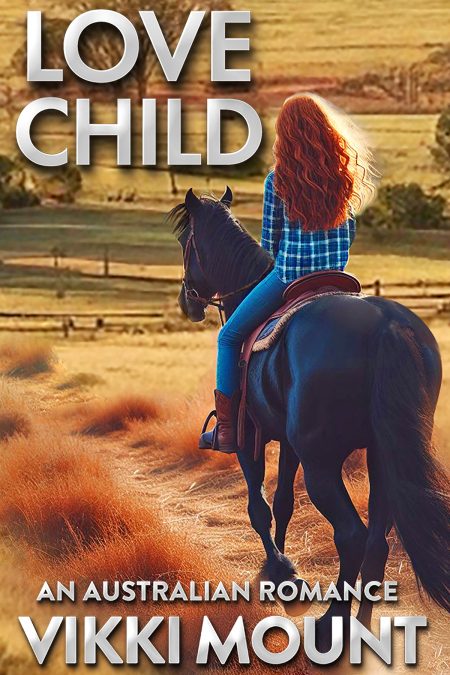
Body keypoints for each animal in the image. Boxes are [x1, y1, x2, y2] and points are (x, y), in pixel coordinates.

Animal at [170, 187, 450, 640]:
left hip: (322, 464)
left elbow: (259, 508)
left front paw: (282, 572)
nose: (187, 302)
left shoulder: (250, 436)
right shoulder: (288, 443)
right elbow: (283, 501)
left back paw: (332, 621)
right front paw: (283, 577)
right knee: (377, 541)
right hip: (383, 456)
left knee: (352, 536)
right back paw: (362, 623)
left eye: (184, 242)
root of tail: (385, 325)